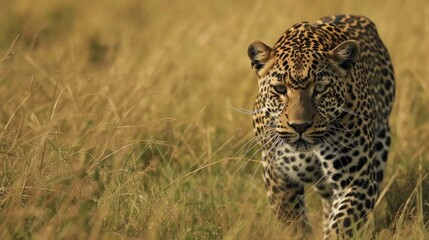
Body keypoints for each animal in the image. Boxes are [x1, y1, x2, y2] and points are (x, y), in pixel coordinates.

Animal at [246, 14, 392, 238]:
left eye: (321, 88)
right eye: (280, 89)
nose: (300, 126)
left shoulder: (357, 180)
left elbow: (341, 225)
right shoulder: (278, 176)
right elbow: (293, 222)